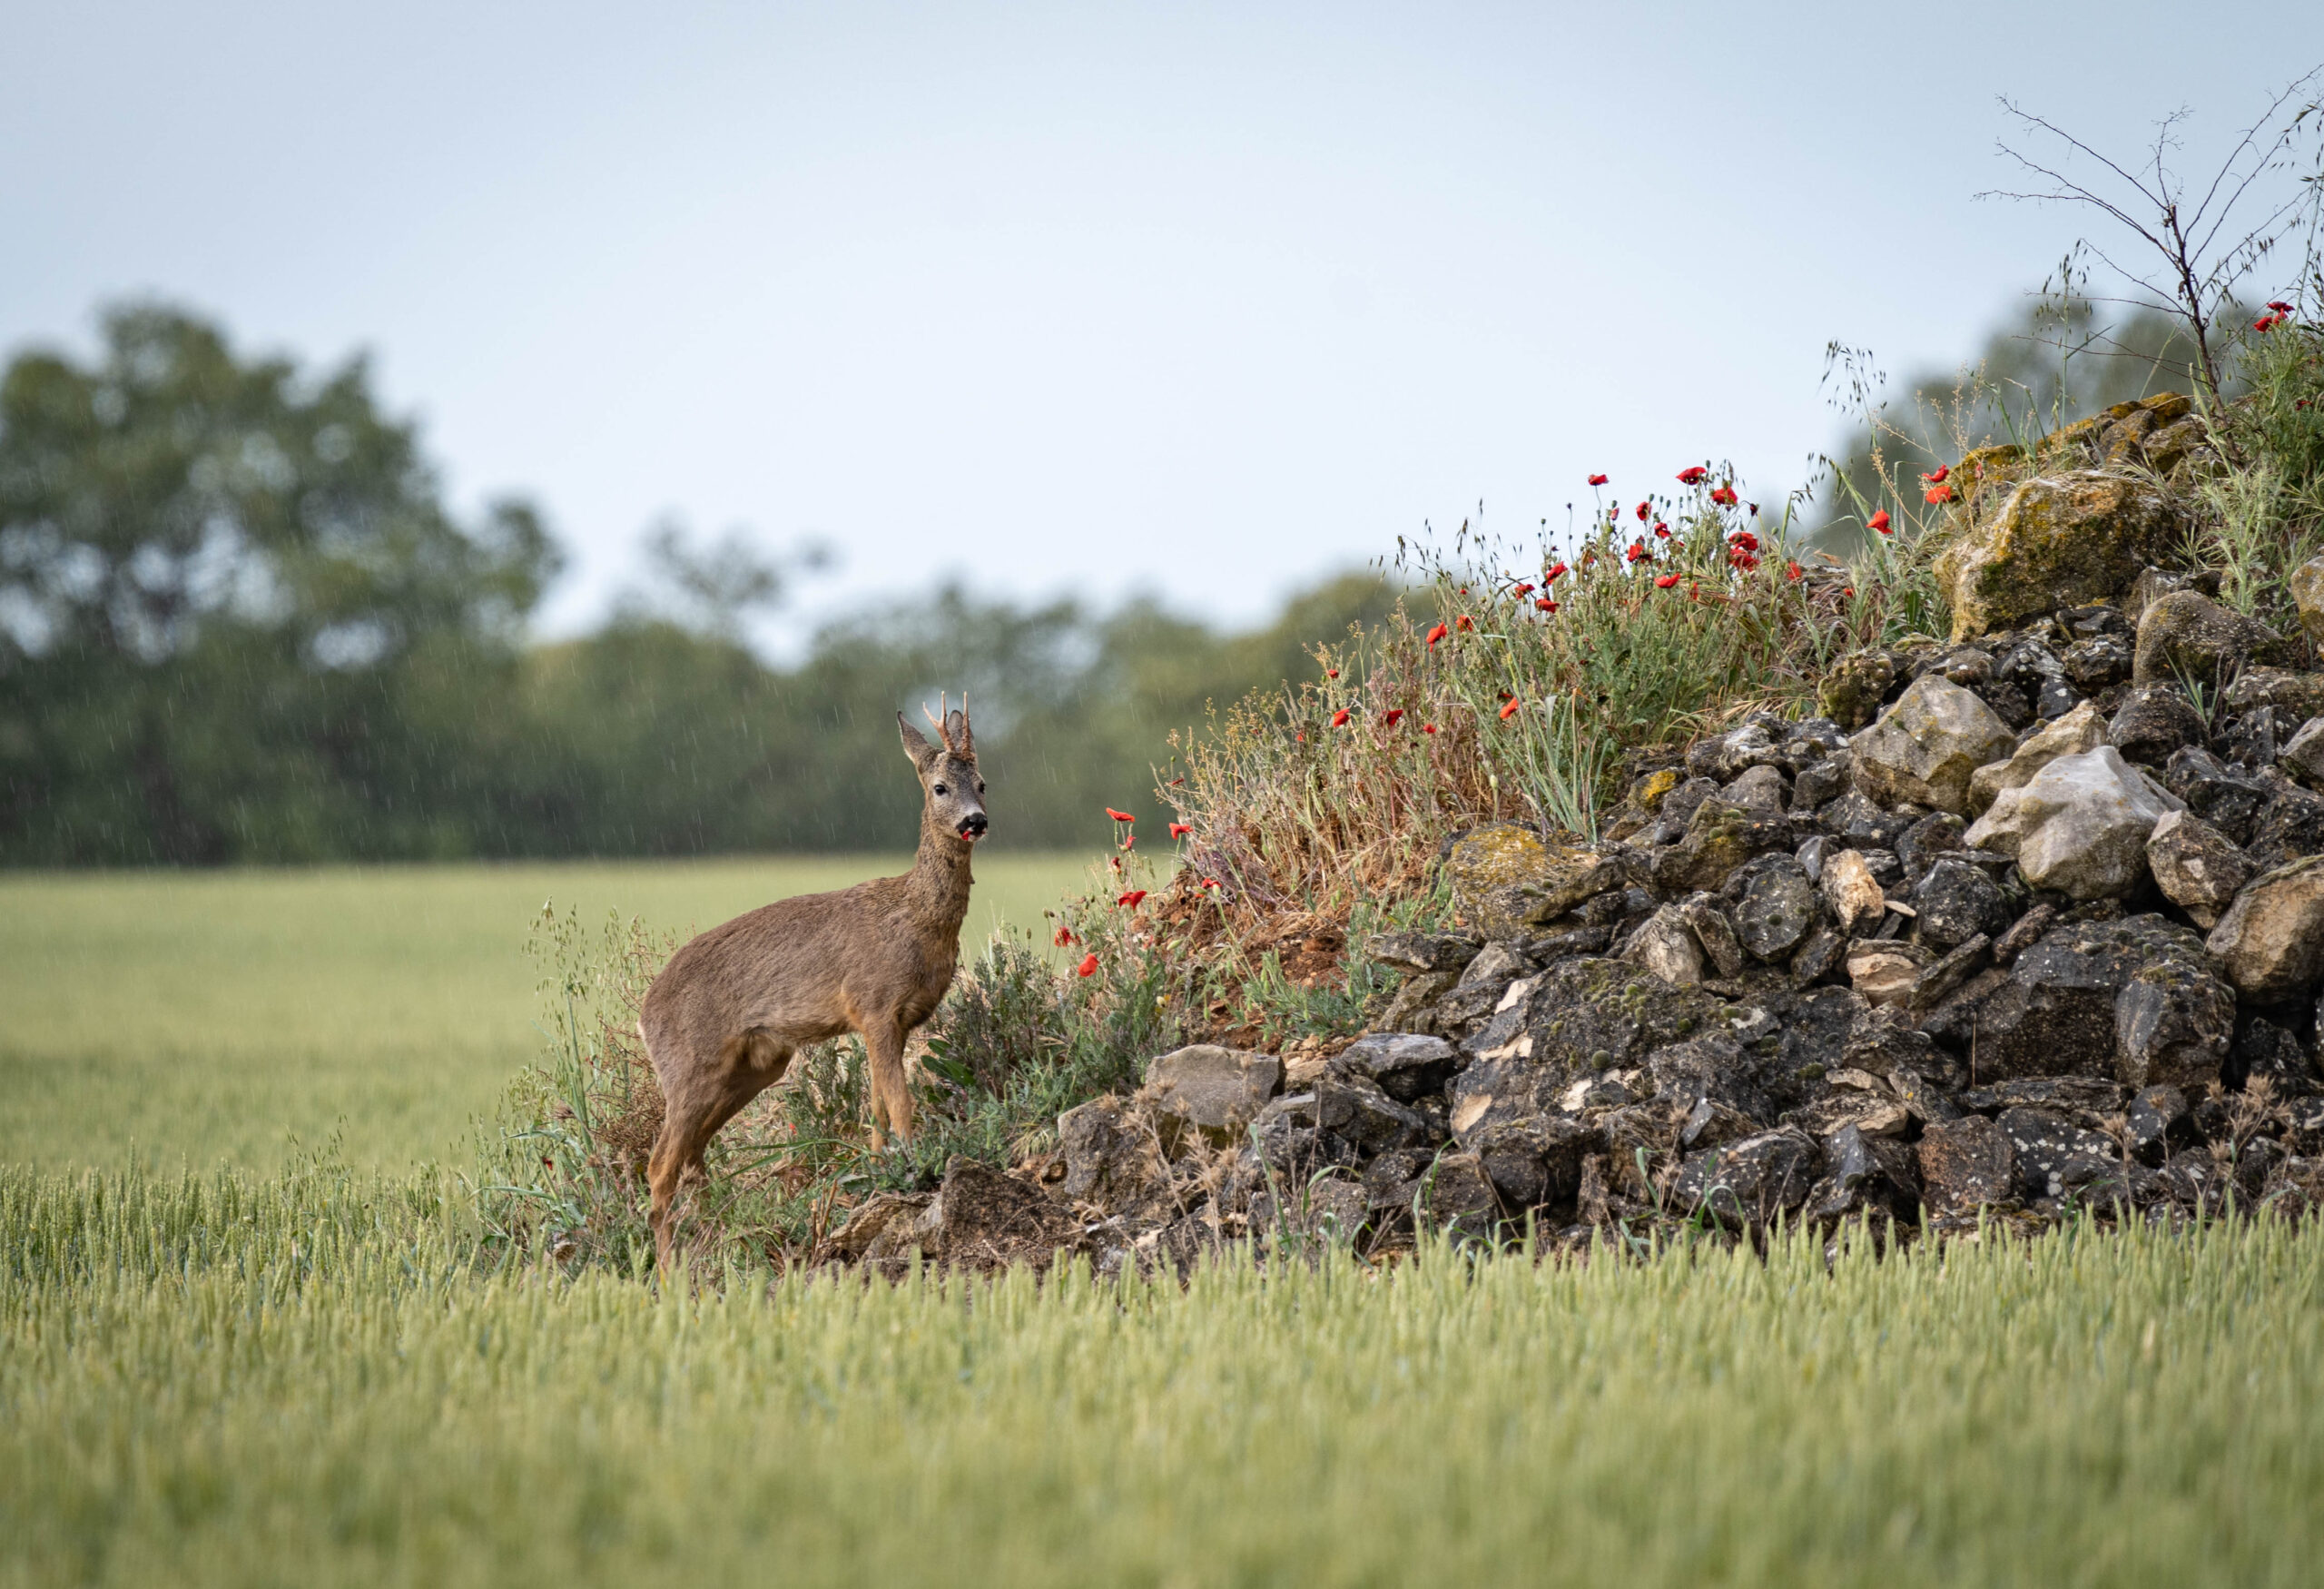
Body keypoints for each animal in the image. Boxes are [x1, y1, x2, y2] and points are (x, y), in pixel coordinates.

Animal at [641, 696, 985, 1263]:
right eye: (940, 788)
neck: (917, 918)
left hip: (756, 1066)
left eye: (982, 783)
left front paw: (877, 1179)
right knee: (659, 1166)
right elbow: (901, 1106)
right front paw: (917, 1174)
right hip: (689, 1067)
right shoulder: (874, 1005)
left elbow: (877, 1111)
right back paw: (673, 1269)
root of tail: (645, 1012)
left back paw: (722, 1235)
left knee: (693, 1154)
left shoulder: (894, 1021)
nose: (975, 820)